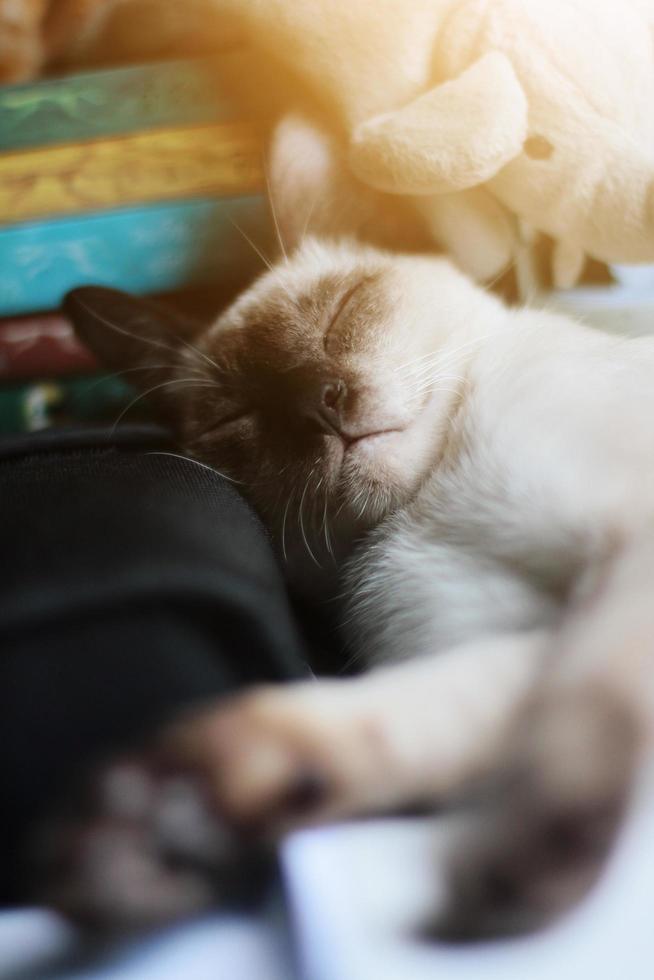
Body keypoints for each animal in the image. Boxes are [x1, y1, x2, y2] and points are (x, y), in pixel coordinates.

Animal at [39, 118, 654, 936]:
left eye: (342, 315)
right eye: (239, 415)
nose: (318, 404)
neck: (430, 501)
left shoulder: (630, 547)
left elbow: (589, 703)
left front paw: (528, 861)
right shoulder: (509, 632)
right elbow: (432, 718)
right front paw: (164, 829)